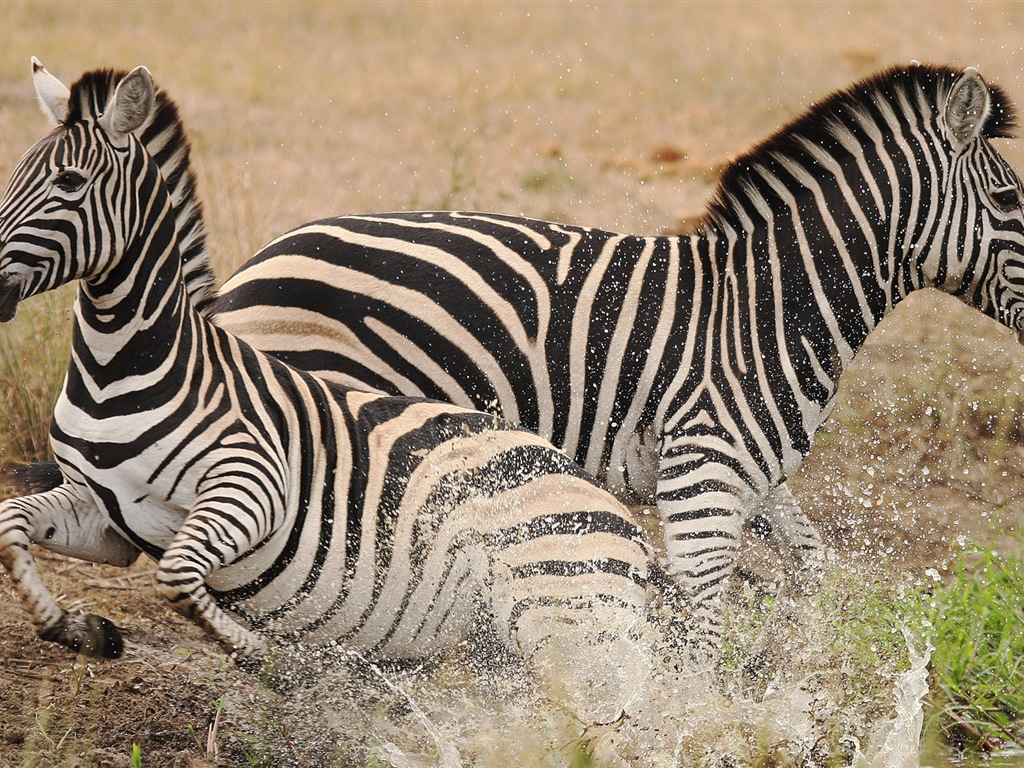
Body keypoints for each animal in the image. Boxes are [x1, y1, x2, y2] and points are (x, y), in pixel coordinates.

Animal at [0, 61, 651, 729]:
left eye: (70, 182)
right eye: (15, 173)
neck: (116, 370)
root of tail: (611, 507)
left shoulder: (255, 484)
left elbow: (180, 579)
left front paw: (275, 660)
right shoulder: (106, 513)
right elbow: (11, 526)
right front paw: (83, 630)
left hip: (566, 613)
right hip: (506, 641)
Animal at [205, 63, 1024, 651]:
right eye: (1013, 202)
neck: (768, 306)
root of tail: (247, 270)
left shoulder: (753, 475)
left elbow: (816, 565)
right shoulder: (704, 473)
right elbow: (702, 624)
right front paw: (693, 721)